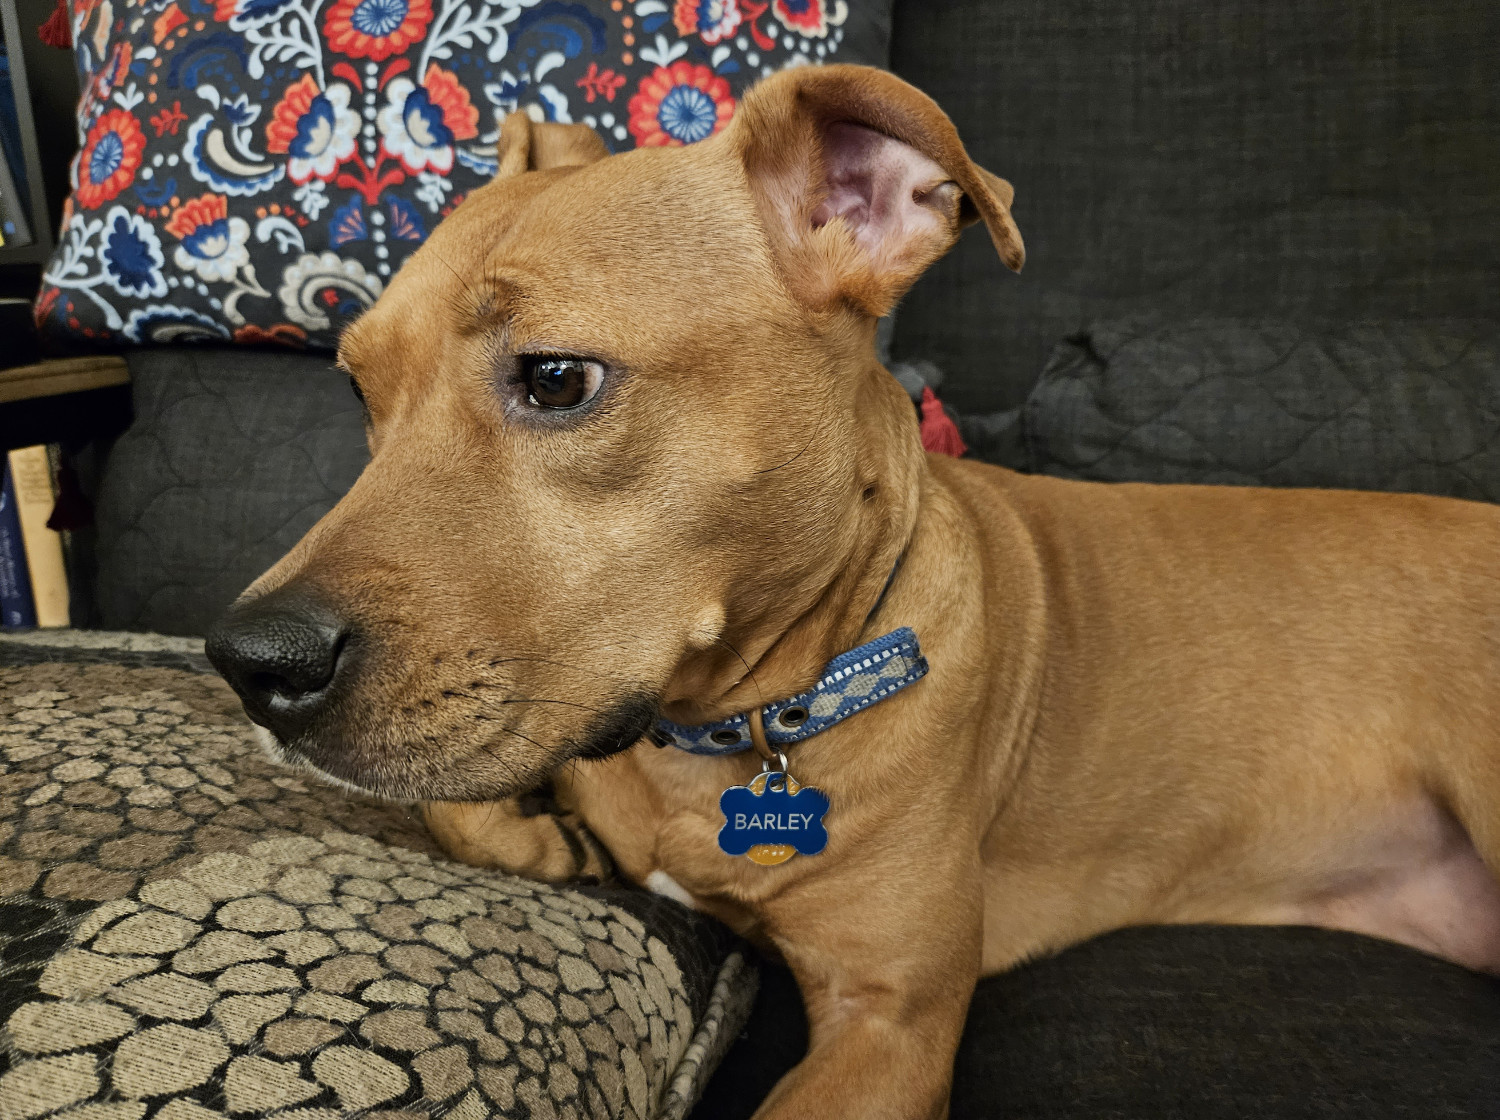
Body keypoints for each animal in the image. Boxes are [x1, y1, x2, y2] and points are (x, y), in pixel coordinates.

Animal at [208, 63, 1500, 1120]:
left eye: (557, 378)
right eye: (360, 394)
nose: (250, 662)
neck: (733, 724)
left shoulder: (889, 1023)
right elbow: (469, 795)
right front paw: (540, 838)